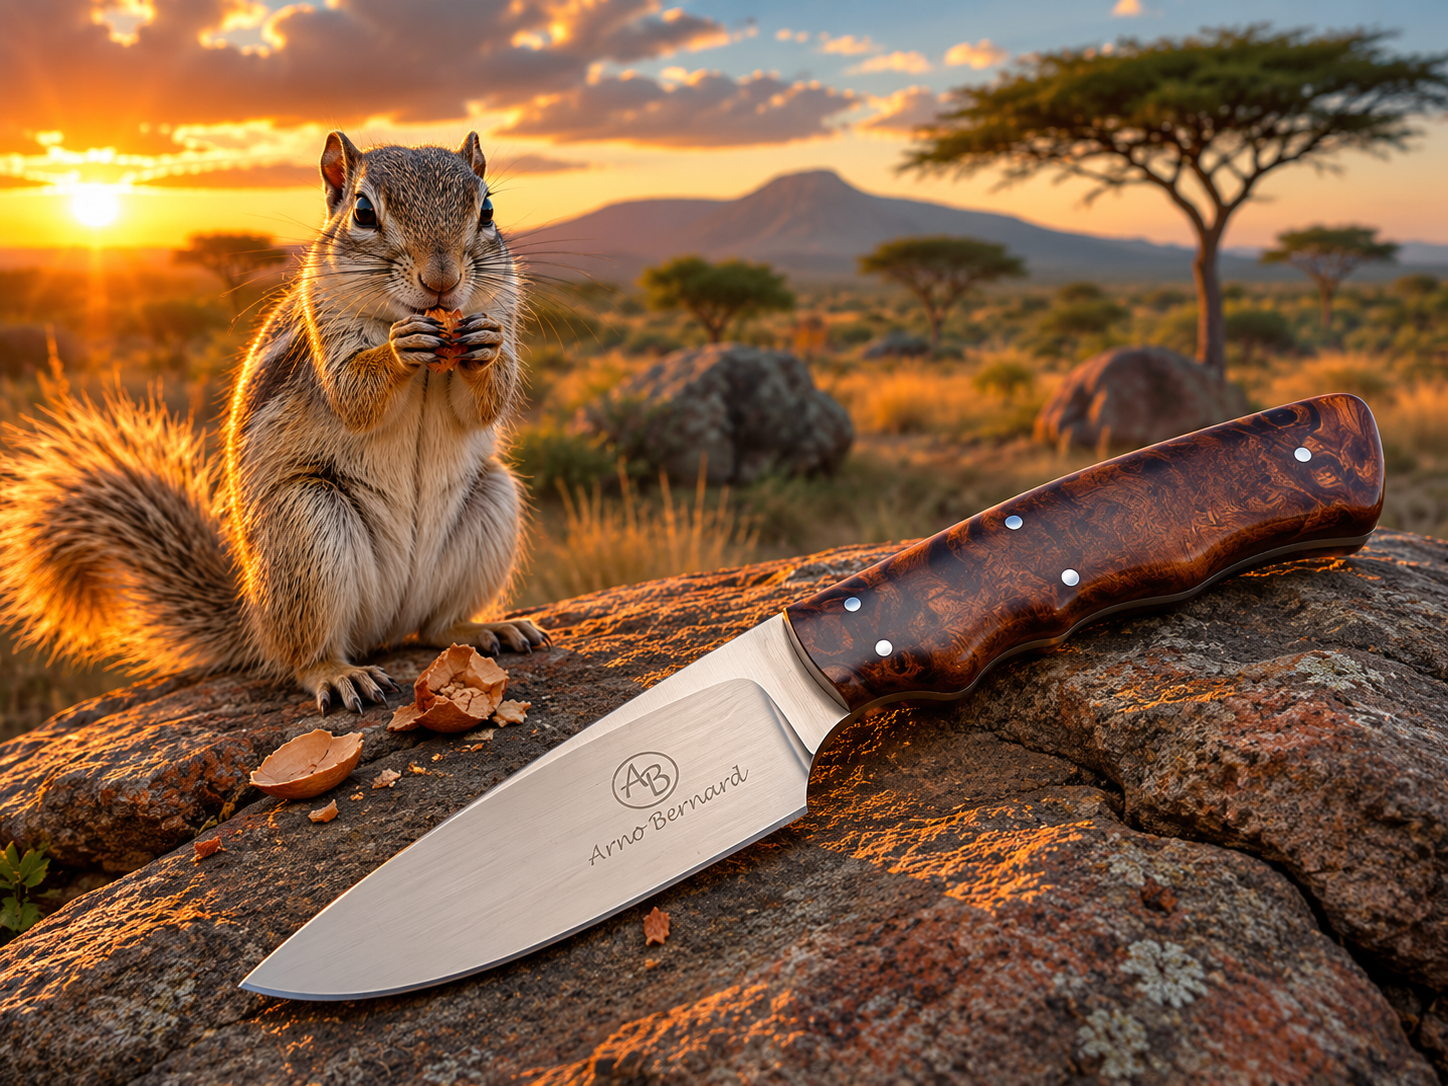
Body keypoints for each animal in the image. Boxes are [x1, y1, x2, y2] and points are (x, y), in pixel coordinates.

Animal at [0, 130, 546, 714]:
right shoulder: (326, 327)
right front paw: (398, 350)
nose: (441, 280)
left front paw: (486, 348)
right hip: (306, 526)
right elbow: (353, 395)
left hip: (492, 502)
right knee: (303, 656)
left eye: (487, 209)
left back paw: (486, 628)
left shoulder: (501, 305)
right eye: (363, 211)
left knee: (435, 627)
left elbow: (487, 401)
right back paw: (340, 674)